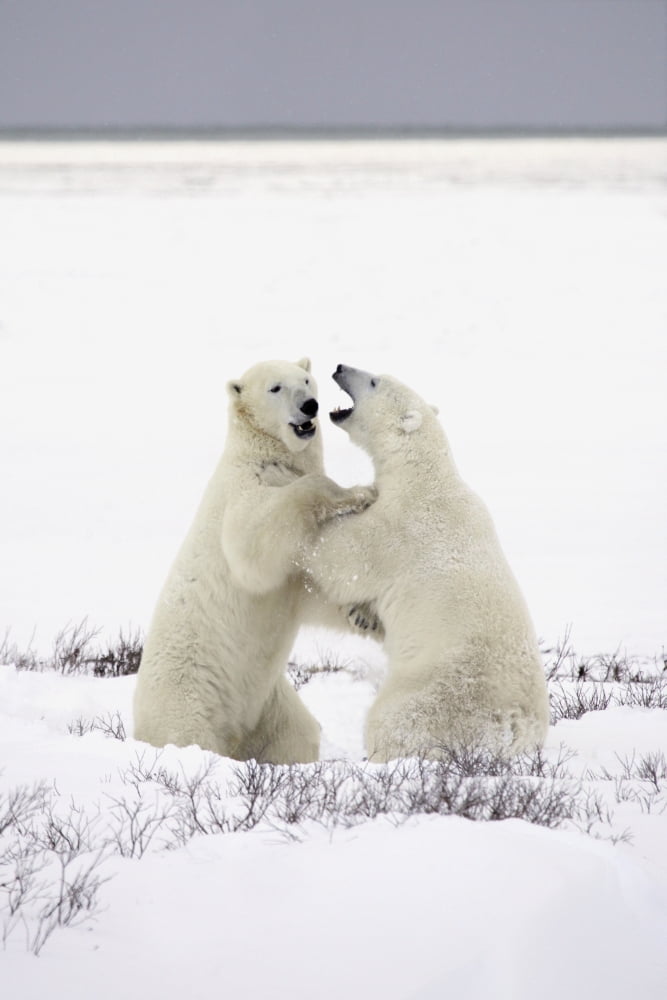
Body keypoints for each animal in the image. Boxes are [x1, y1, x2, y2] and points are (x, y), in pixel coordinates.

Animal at [133, 358, 376, 764]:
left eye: (306, 380)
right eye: (275, 388)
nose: (309, 406)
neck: (263, 454)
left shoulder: (292, 576)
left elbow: (311, 591)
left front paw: (364, 615)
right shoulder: (242, 495)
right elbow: (255, 547)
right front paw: (360, 492)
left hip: (269, 705)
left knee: (296, 734)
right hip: (190, 697)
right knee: (189, 735)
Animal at [298, 364, 550, 760]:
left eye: (375, 381)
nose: (340, 367)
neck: (422, 474)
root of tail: (515, 726)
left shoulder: (401, 526)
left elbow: (345, 557)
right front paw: (362, 615)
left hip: (433, 694)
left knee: (392, 721)